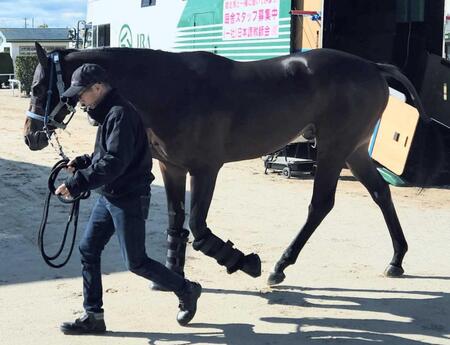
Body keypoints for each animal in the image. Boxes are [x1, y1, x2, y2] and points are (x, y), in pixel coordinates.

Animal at [23, 42, 426, 284]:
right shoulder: (172, 169)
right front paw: (173, 275)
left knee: (321, 205)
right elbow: (175, 222)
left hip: (333, 148)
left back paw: (280, 266)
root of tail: (372, 66)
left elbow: (199, 229)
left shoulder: (205, 170)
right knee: (380, 194)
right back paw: (397, 259)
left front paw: (244, 262)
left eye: (39, 87)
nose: (31, 136)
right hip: (354, 150)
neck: (171, 88)